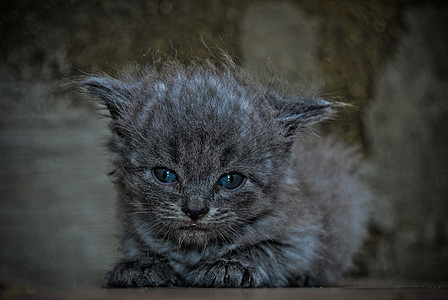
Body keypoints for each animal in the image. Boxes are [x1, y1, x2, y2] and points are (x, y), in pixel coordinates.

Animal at [78, 54, 372, 288]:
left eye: (231, 180)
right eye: (165, 175)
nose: (195, 210)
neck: (193, 253)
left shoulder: (302, 239)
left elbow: (265, 250)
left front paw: (231, 267)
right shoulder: (131, 227)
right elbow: (141, 248)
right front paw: (140, 267)